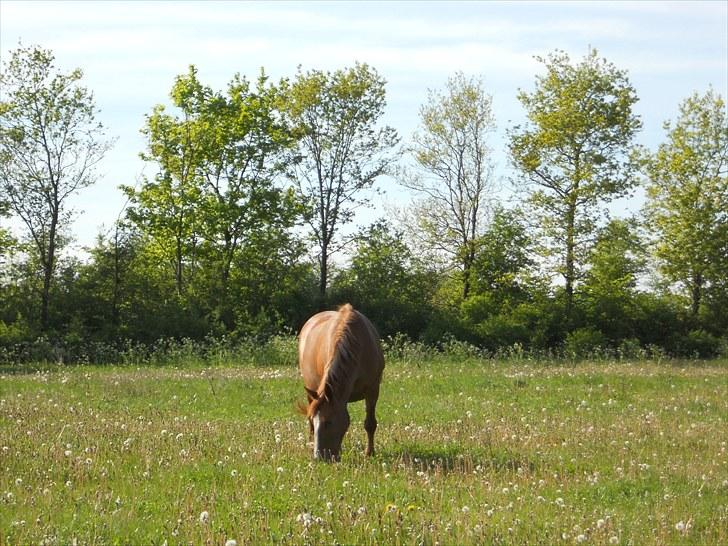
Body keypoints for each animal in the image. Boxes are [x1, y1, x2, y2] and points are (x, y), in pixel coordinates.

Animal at [298, 302, 386, 460]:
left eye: (328, 422)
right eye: (315, 419)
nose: (319, 457)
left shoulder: (372, 389)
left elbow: (370, 423)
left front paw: (369, 452)